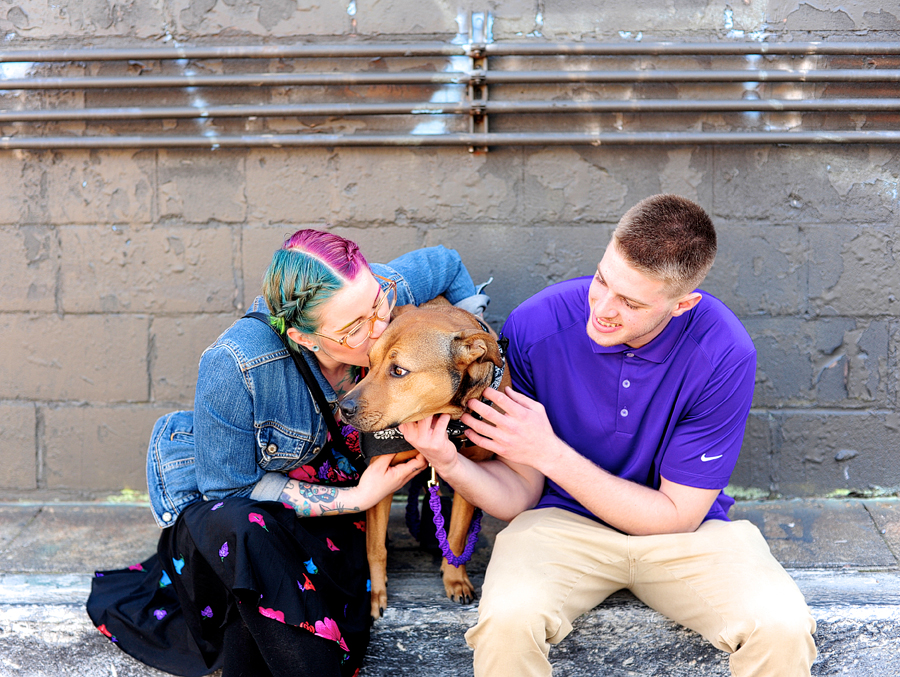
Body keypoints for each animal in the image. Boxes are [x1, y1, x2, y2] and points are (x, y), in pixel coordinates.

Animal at [340, 302, 510, 616]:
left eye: (398, 370)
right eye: (369, 361)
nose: (343, 408)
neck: (444, 420)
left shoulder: (470, 475)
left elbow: (457, 536)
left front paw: (455, 580)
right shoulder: (381, 477)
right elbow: (375, 547)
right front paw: (376, 594)